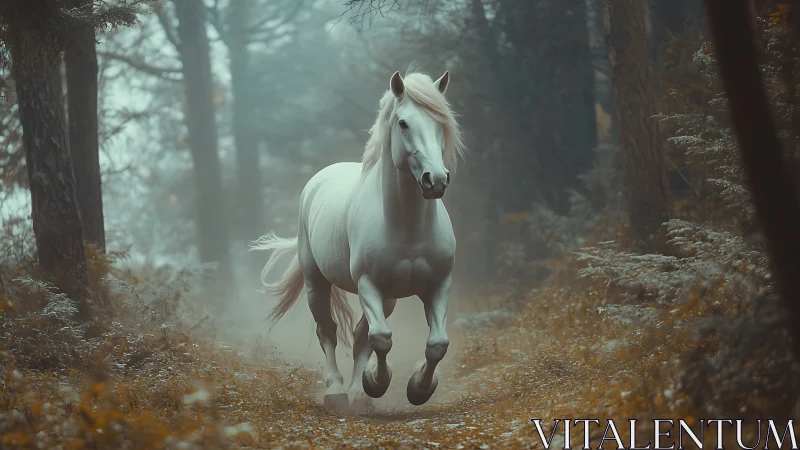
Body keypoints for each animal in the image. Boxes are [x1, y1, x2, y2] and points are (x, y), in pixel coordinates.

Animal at [250, 69, 466, 410]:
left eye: (440, 122)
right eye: (403, 123)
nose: (436, 180)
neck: (408, 226)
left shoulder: (438, 284)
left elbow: (436, 343)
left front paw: (418, 388)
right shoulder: (368, 284)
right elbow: (381, 338)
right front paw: (376, 382)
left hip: (388, 297)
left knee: (363, 334)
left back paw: (356, 392)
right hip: (317, 282)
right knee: (328, 331)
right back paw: (338, 390)